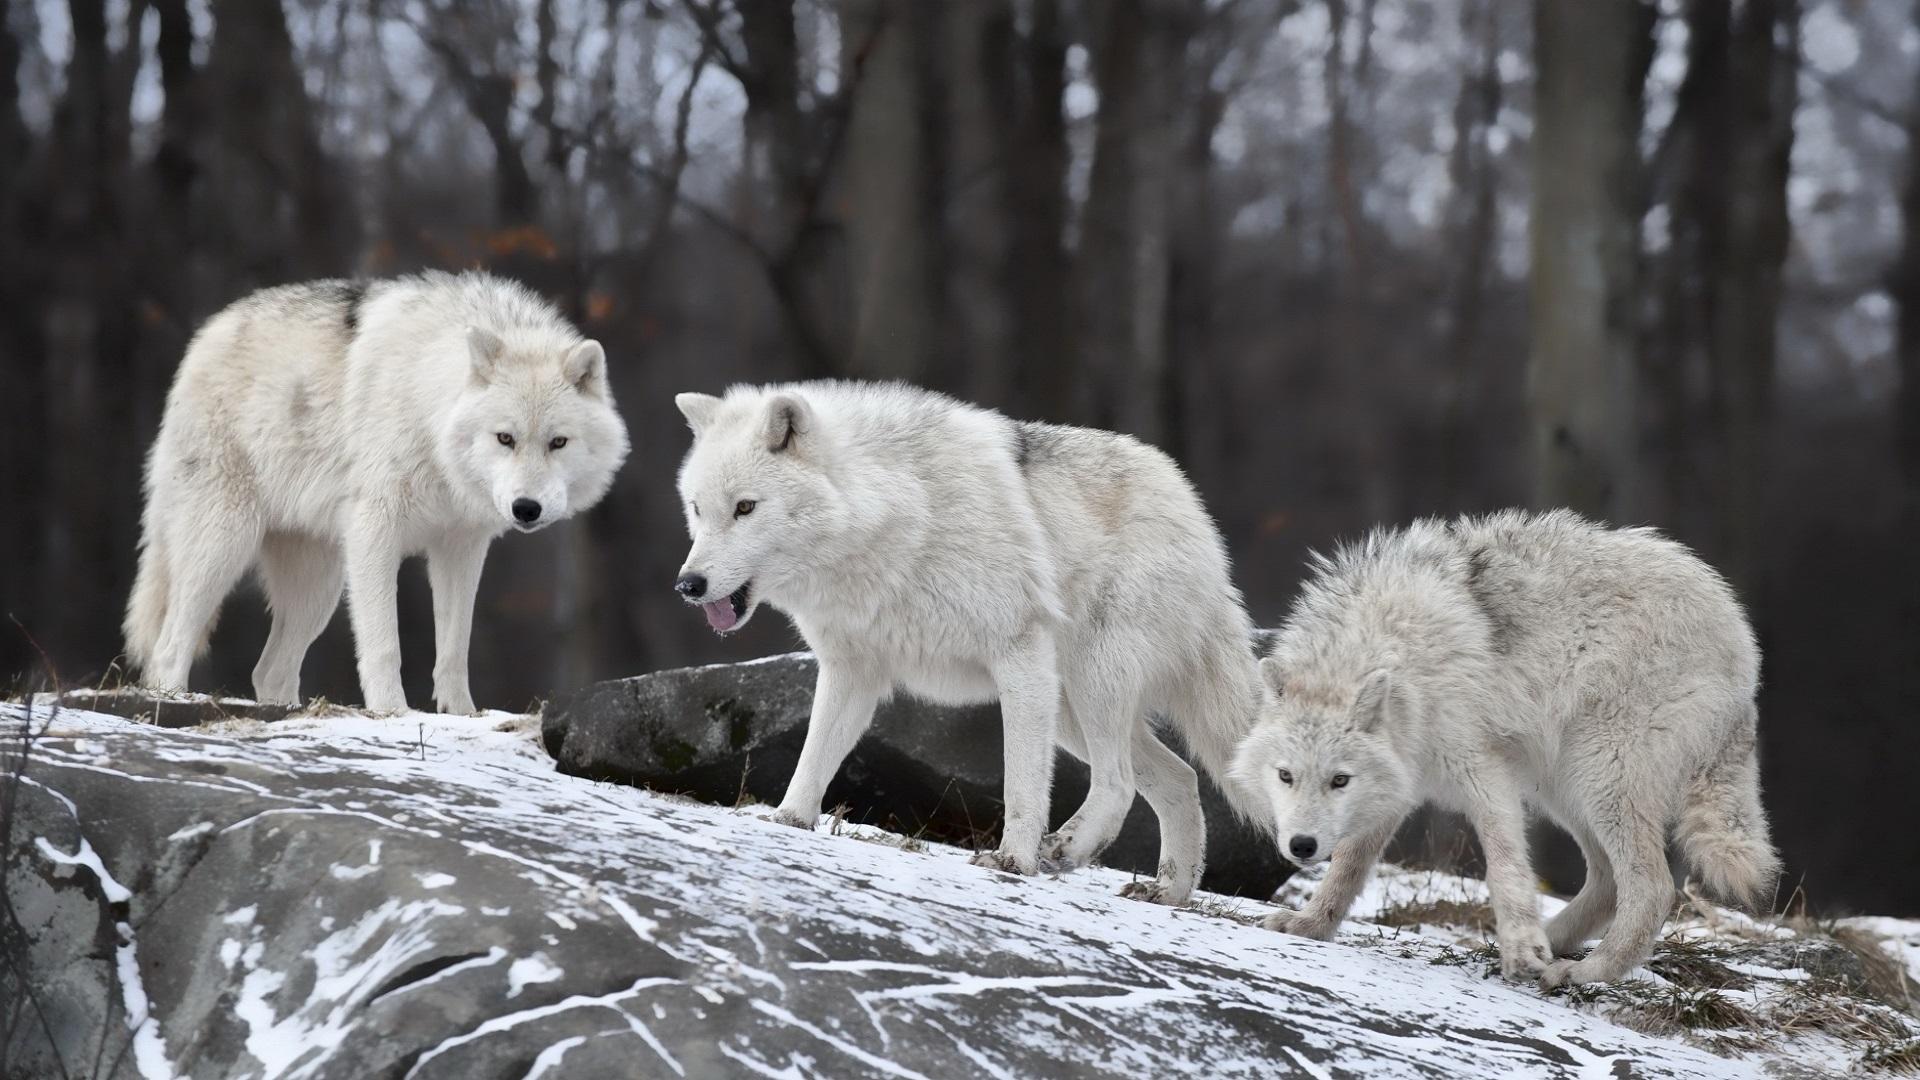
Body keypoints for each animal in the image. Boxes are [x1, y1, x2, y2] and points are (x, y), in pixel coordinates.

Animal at [125, 271, 629, 713]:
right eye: (505, 438)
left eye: (558, 442)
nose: (526, 509)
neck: (428, 409)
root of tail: (207, 334)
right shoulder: (375, 531)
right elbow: (385, 644)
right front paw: (392, 712)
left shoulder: (461, 547)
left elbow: (454, 650)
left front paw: (463, 715)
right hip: (225, 546)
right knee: (169, 647)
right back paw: (173, 702)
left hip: (318, 588)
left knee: (268, 671)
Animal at [671, 381, 1260, 903]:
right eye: (698, 509)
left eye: (745, 507)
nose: (688, 584)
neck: (896, 518)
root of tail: (1193, 508)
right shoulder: (851, 670)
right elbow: (814, 755)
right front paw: (789, 821)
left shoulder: (1018, 654)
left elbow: (1021, 782)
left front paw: (1013, 861)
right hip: (1070, 708)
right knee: (1181, 778)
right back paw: (1168, 893)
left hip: (1089, 683)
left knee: (1118, 783)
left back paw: (1065, 851)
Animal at [1229, 510, 1778, 986]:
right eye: (1285, 776)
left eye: (1339, 780)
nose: (1301, 847)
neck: (1401, 653)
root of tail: (1743, 640)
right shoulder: (1399, 784)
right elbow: (1347, 868)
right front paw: (1310, 926)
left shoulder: (1484, 771)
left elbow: (1505, 866)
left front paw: (1521, 949)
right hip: (1565, 787)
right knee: (1606, 883)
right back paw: (1549, 944)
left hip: (1598, 778)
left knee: (1651, 890)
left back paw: (1584, 970)